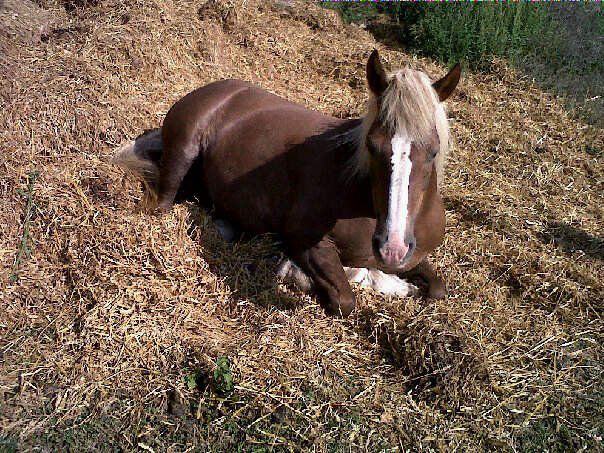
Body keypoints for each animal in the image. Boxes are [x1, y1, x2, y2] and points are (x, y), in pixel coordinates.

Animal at [114, 50, 460, 317]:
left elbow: (438, 288)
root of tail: (212, 89)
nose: (392, 247)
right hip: (182, 153)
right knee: (163, 203)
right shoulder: (306, 241)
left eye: (433, 151)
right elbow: (345, 299)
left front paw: (399, 284)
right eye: (373, 146)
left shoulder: (414, 256)